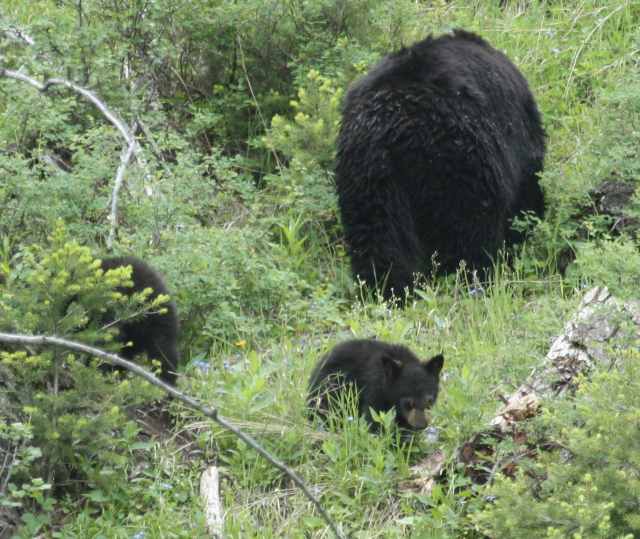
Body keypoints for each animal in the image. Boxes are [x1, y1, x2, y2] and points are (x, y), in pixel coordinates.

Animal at [335, 29, 546, 300]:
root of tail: (391, 131)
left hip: (366, 182)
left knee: (379, 242)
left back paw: (387, 291)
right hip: (460, 169)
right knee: (470, 236)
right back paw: (479, 280)